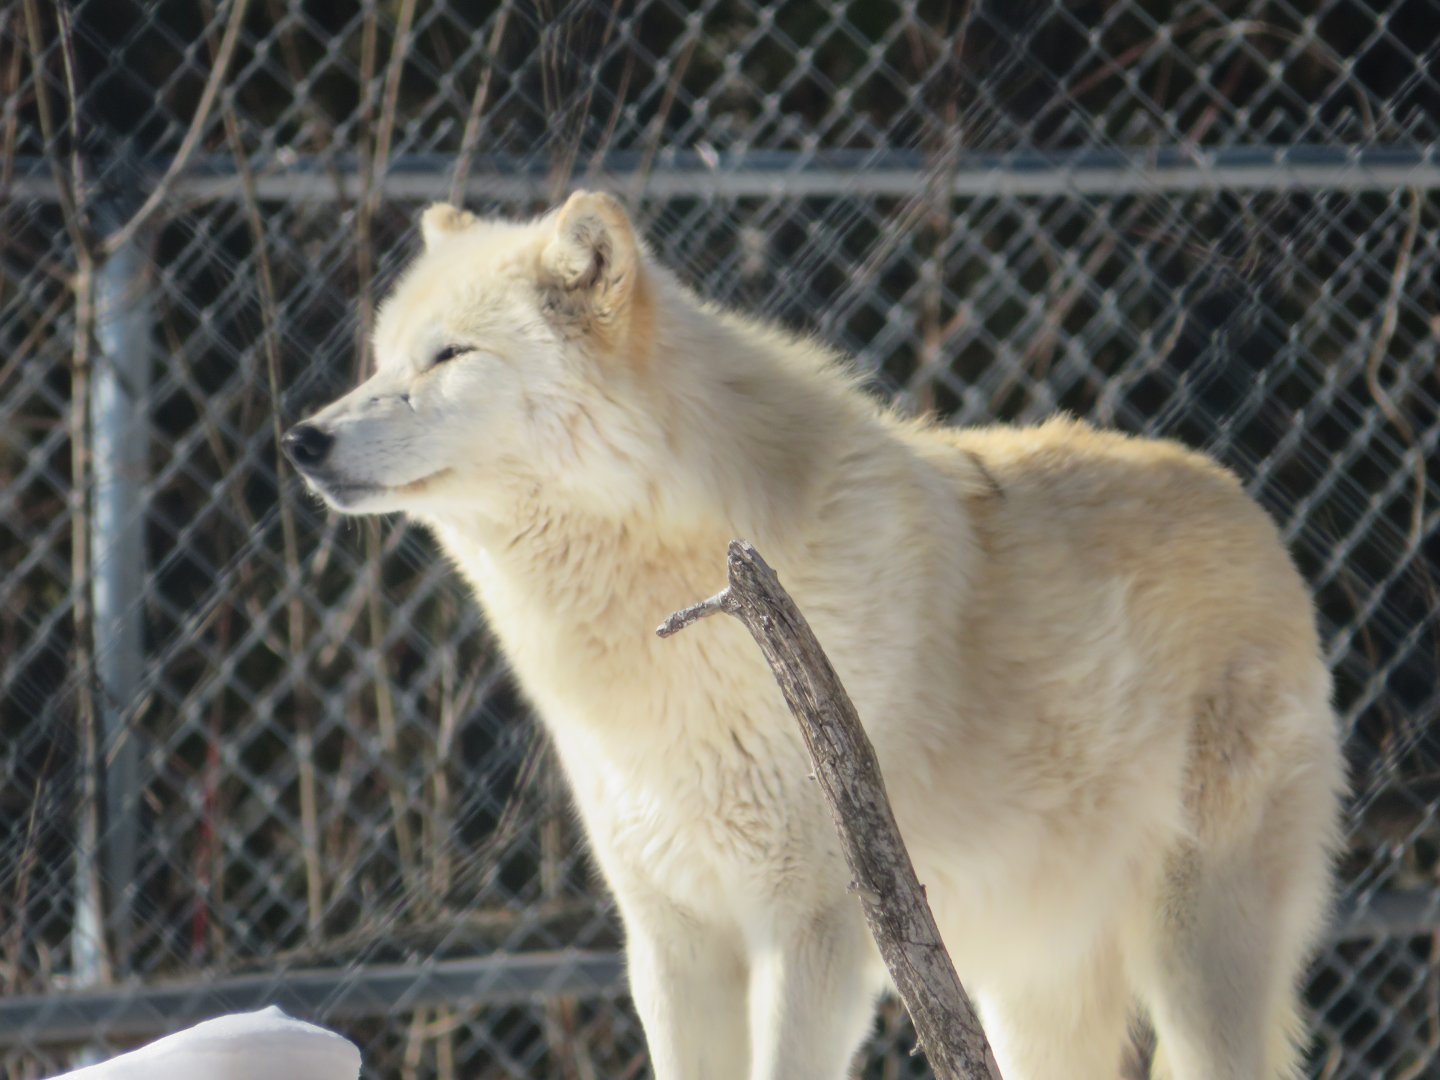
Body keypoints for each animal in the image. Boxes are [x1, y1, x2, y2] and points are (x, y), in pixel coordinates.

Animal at [284, 192, 1345, 1080]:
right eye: (383, 359)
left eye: (450, 357)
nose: (301, 439)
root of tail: (1248, 504)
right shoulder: (671, 938)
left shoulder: (821, 929)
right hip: (1035, 984)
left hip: (1196, 963)